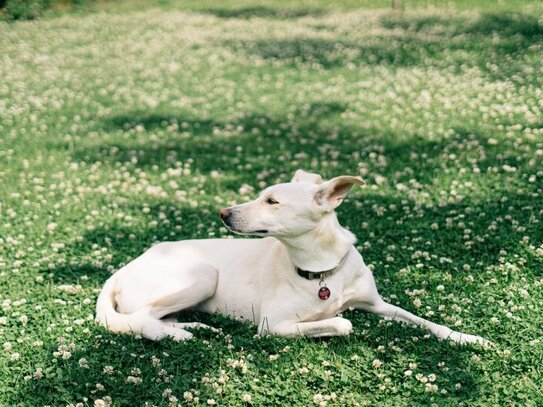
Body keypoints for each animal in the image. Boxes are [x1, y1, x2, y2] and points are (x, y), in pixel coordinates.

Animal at [95, 171, 490, 346]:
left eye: (272, 201)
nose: (223, 213)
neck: (323, 270)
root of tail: (122, 269)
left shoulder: (377, 304)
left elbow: (425, 321)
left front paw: (468, 338)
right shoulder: (272, 324)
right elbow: (342, 322)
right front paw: (329, 320)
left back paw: (193, 328)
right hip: (203, 275)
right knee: (142, 320)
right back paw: (180, 336)